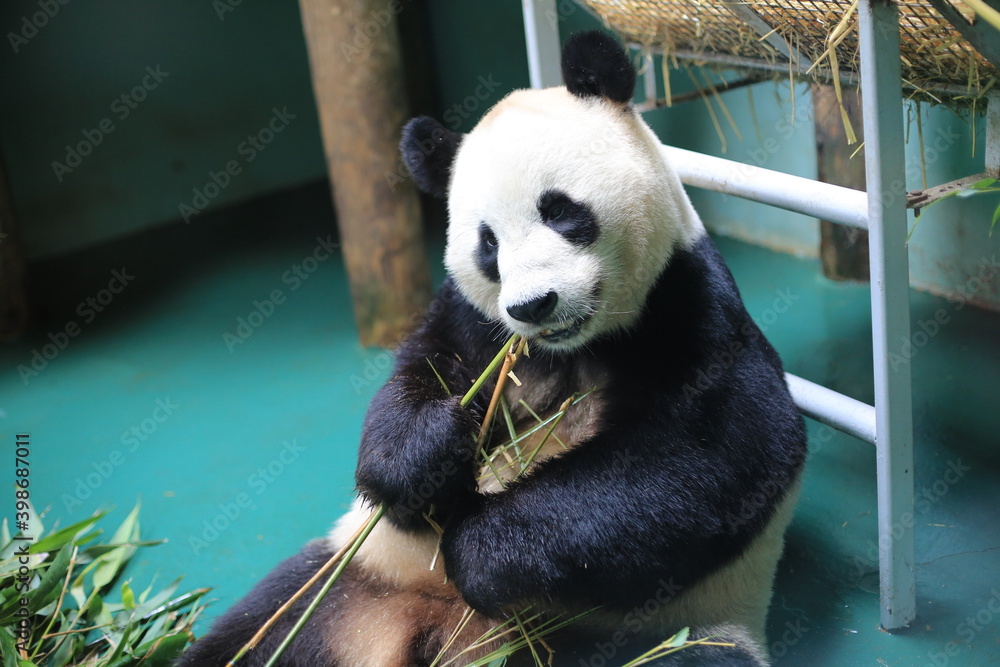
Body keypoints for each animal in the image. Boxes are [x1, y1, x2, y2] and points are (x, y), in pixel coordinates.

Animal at [178, 31, 806, 667]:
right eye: (487, 244)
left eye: (559, 210)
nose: (534, 305)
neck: (573, 346)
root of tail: (440, 636)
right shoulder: (473, 322)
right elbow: (420, 374)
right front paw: (424, 451)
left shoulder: (689, 306)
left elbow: (712, 452)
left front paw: (484, 551)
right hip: (356, 583)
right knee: (260, 630)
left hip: (670, 631)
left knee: (689, 653)